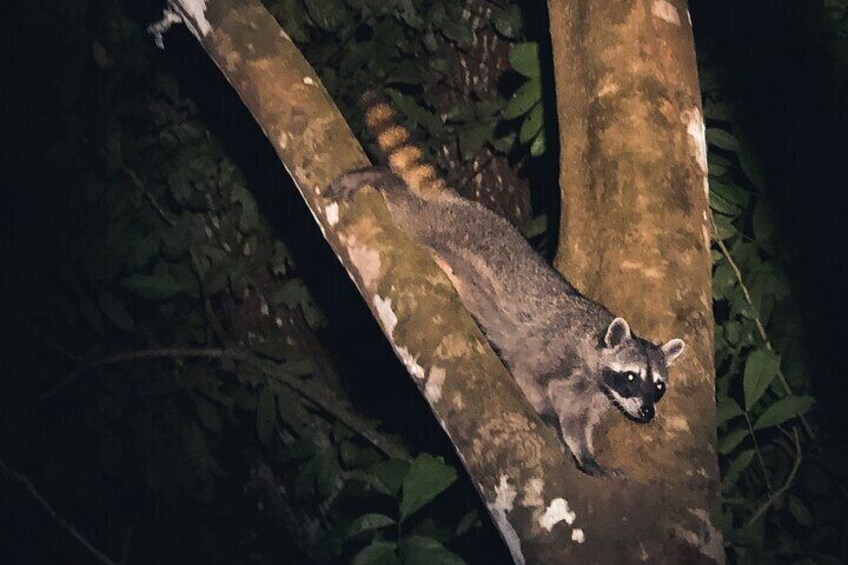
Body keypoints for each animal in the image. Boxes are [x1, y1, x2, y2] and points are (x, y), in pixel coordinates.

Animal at [322, 98, 684, 476]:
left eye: (658, 387)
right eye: (631, 377)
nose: (648, 412)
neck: (592, 366)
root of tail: (466, 205)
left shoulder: (591, 394)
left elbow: (576, 421)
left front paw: (585, 456)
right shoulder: (554, 345)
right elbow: (528, 374)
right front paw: (548, 417)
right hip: (444, 226)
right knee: (409, 211)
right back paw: (383, 180)